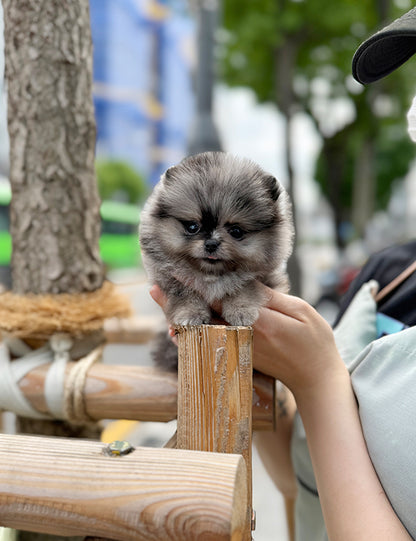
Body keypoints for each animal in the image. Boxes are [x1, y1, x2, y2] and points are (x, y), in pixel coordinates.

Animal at [141, 152, 294, 370]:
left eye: (236, 231)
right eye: (192, 226)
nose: (211, 243)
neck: (211, 274)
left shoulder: (263, 277)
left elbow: (244, 285)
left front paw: (241, 310)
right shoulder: (169, 276)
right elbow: (184, 292)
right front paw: (191, 313)